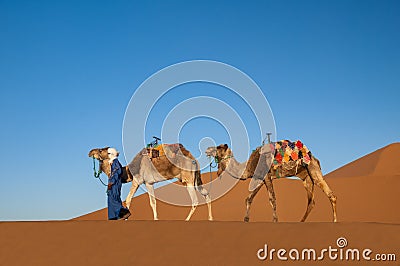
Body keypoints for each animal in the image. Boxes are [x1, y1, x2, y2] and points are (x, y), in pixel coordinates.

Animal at [206, 141, 338, 222]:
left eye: (218, 147)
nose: (207, 149)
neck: (249, 166)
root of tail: (315, 158)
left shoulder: (266, 176)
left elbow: (272, 199)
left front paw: (275, 220)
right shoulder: (259, 178)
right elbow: (249, 199)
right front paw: (246, 219)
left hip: (313, 171)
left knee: (330, 195)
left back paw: (335, 221)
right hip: (306, 178)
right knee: (311, 201)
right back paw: (300, 221)